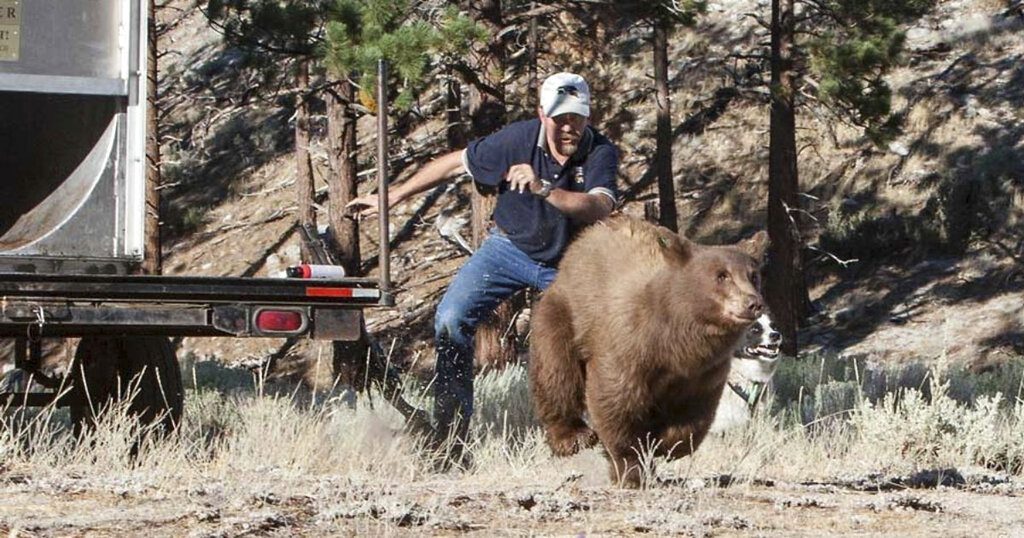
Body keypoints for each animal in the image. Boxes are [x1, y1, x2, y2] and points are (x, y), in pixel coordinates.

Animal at [532, 215, 765, 485]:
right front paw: (632, 469)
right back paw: (572, 436)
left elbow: (694, 415)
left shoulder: (704, 372)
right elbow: (615, 401)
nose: (753, 303)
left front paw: (662, 443)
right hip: (562, 317)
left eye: (754, 275)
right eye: (721, 275)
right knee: (557, 374)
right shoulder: (629, 345)